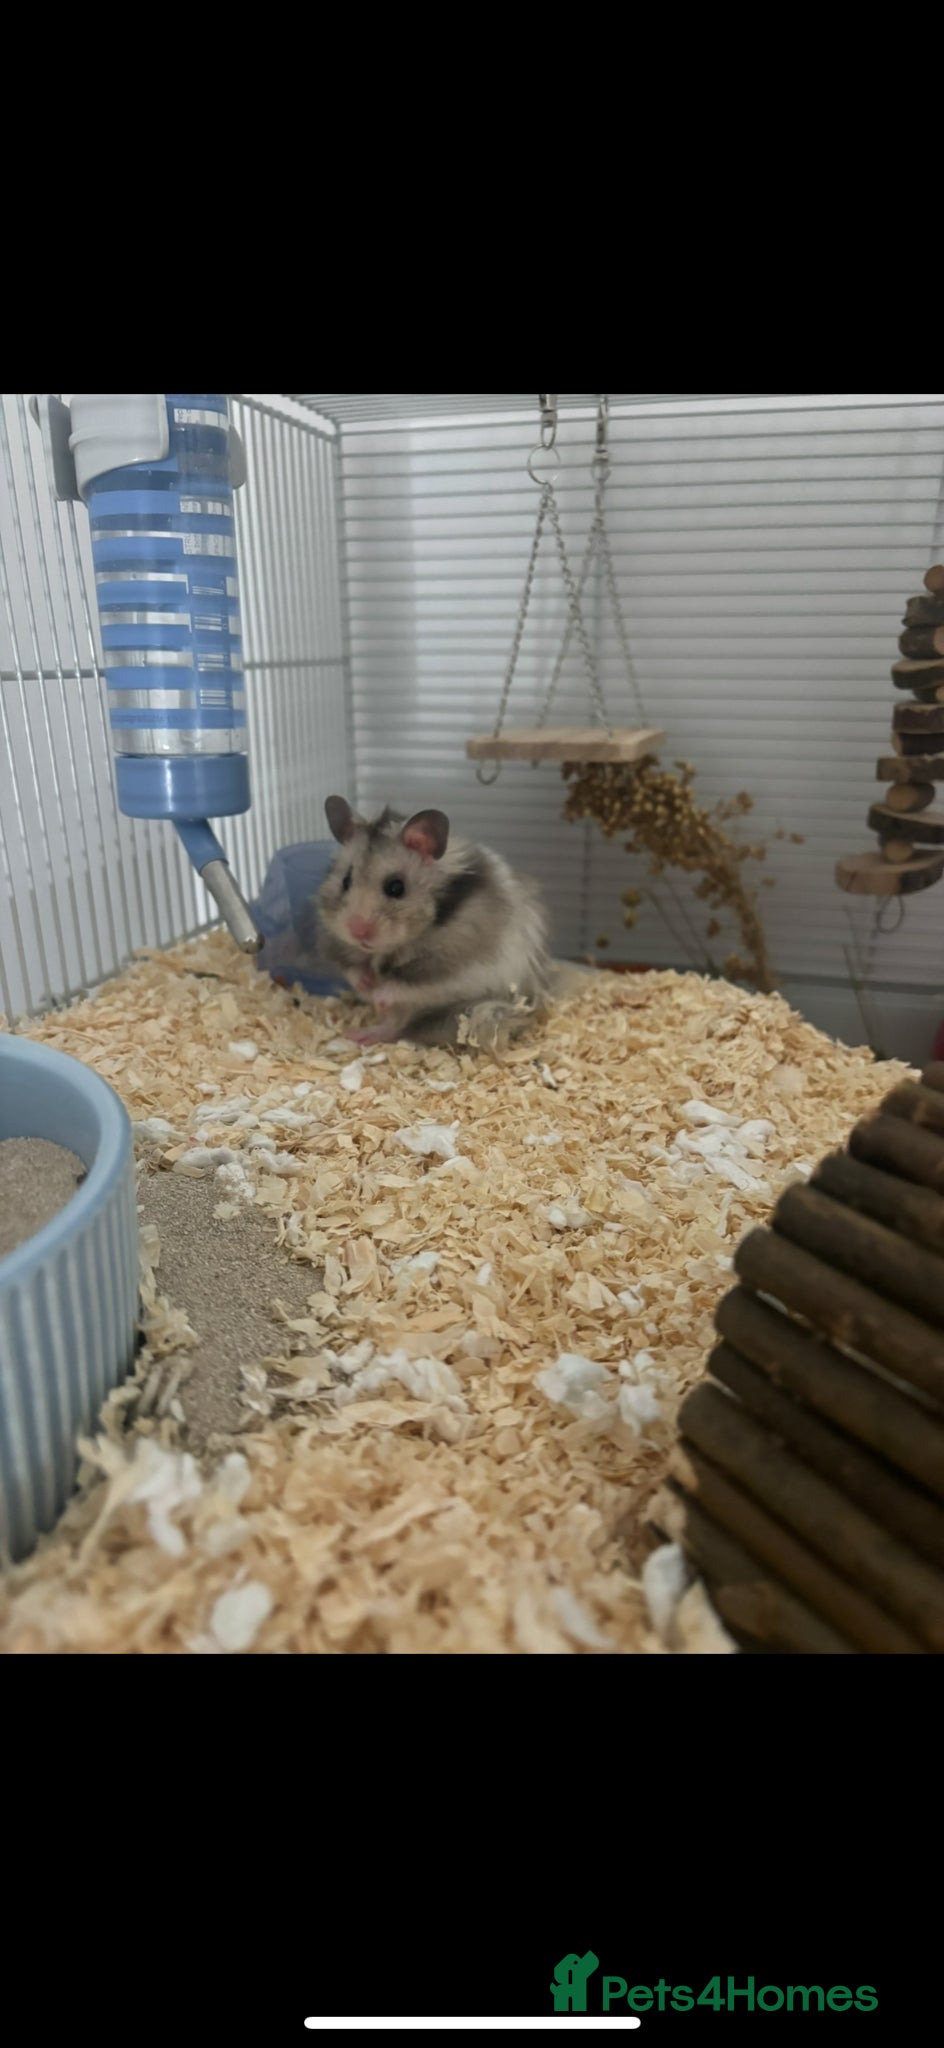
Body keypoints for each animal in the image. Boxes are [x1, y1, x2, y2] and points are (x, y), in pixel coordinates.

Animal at [315, 795, 551, 1050]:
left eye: (396, 887)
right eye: (346, 881)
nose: (357, 931)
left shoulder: (454, 965)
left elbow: (410, 985)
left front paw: (378, 996)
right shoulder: (340, 948)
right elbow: (352, 969)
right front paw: (366, 984)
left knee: (398, 1025)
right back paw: (358, 1034)